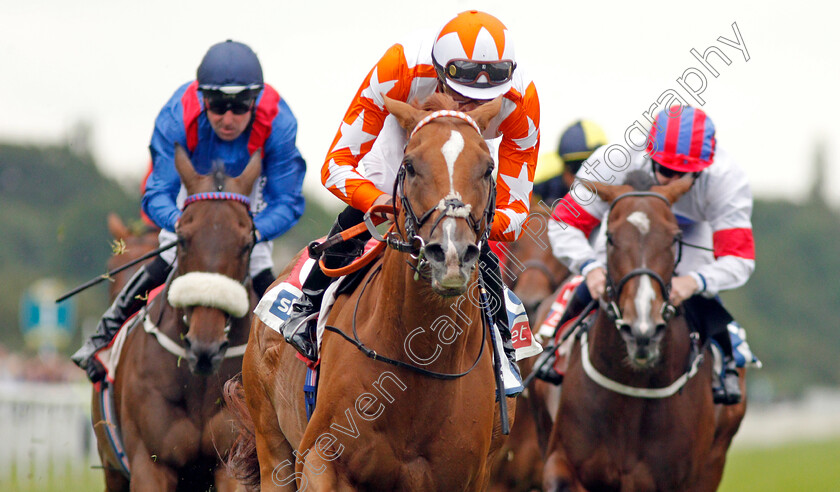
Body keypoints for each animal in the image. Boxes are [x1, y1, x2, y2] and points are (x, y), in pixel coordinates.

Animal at [90, 144, 260, 490]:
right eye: (182, 239)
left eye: (246, 244)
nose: (205, 348)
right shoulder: (150, 463)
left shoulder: (232, 463)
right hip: (112, 469)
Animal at [233, 93, 516, 492]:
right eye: (410, 165)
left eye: (488, 168)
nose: (451, 255)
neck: (417, 363)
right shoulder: (320, 459)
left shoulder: (468, 478)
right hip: (271, 444)